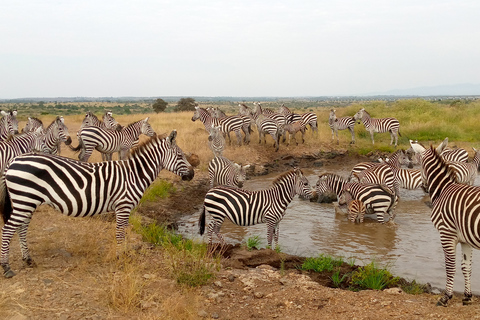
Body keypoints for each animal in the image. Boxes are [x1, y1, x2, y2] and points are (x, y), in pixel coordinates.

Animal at [0, 130, 195, 278]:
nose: (192, 174)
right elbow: (120, 233)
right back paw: (6, 267)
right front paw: (120, 257)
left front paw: (123, 254)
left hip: (27, 201)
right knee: (8, 230)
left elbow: (123, 233)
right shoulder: (123, 206)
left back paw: (28, 259)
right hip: (24, 200)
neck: (134, 174)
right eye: (180, 155)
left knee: (22, 228)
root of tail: (14, 160)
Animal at [408, 139, 480, 306]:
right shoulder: (465, 238)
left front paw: (446, 296)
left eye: (418, 165)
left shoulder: (446, 233)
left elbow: (450, 266)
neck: (444, 189)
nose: (424, 188)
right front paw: (467, 296)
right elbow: (466, 267)